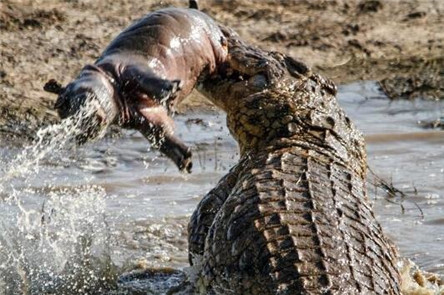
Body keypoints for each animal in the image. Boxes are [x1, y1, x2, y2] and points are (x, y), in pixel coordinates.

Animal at [44, 6, 229, 173]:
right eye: (60, 108)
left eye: (63, 101)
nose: (78, 133)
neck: (105, 76)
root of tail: (194, 9)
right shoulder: (140, 114)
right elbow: (161, 133)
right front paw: (185, 161)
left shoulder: (127, 67)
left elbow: (146, 78)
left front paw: (173, 90)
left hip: (213, 42)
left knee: (222, 54)